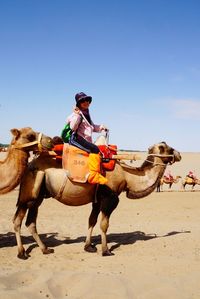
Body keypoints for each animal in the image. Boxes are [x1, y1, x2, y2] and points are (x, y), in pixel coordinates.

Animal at [12, 141, 181, 260]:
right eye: (167, 147)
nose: (179, 154)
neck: (127, 176)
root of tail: (30, 164)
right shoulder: (110, 198)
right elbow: (104, 224)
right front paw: (105, 251)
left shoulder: (97, 200)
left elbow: (91, 220)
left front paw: (89, 246)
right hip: (29, 194)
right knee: (18, 220)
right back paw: (22, 253)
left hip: (38, 197)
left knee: (30, 222)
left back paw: (45, 249)